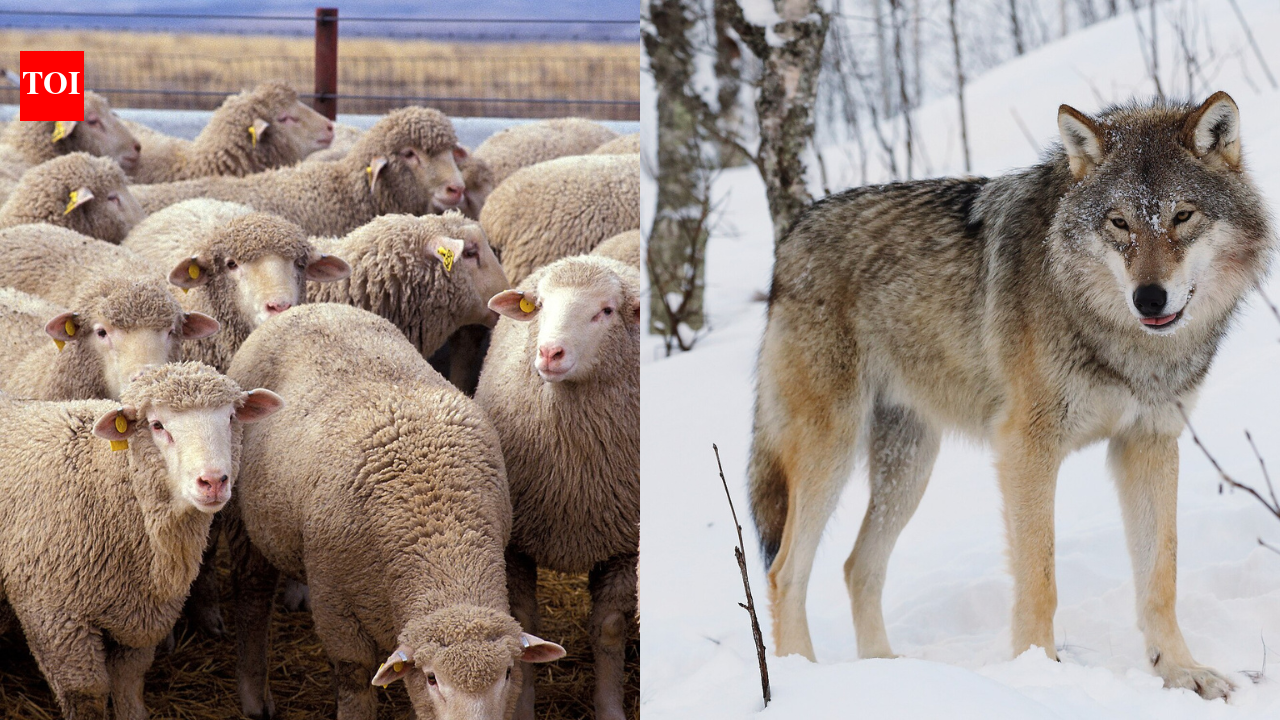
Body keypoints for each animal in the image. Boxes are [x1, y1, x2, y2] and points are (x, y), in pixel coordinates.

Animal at [0, 362, 282, 720]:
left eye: (231, 417)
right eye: (157, 425)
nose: (214, 481)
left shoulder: (140, 618)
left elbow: (128, 687)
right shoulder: (53, 617)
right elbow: (87, 696)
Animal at [225, 302, 565, 720]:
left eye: (507, 674)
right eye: (432, 678)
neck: (441, 531)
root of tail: (313, 307)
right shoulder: (336, 607)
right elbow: (354, 678)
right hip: (243, 520)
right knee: (252, 597)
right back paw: (254, 694)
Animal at [474, 255, 640, 720]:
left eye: (606, 311)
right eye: (541, 305)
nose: (550, 353)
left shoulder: (625, 544)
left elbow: (609, 629)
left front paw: (609, 707)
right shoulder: (515, 544)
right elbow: (524, 624)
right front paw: (523, 707)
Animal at [747, 91, 1272, 699]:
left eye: (1182, 216)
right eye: (1118, 223)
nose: (1148, 297)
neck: (1122, 341)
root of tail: (792, 234)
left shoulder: (1149, 443)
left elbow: (1160, 578)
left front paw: (1182, 672)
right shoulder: (1027, 447)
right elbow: (1039, 578)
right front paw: (1040, 674)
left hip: (909, 467)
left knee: (859, 566)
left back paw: (889, 673)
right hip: (829, 453)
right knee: (785, 571)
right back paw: (802, 679)